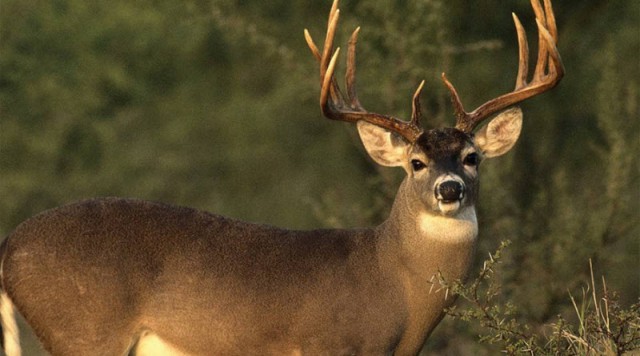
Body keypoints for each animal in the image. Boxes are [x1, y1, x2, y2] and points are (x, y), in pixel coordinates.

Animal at [0, 0, 560, 354]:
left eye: (472, 157)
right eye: (416, 163)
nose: (450, 189)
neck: (395, 289)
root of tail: (8, 248)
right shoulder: (329, 345)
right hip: (83, 330)